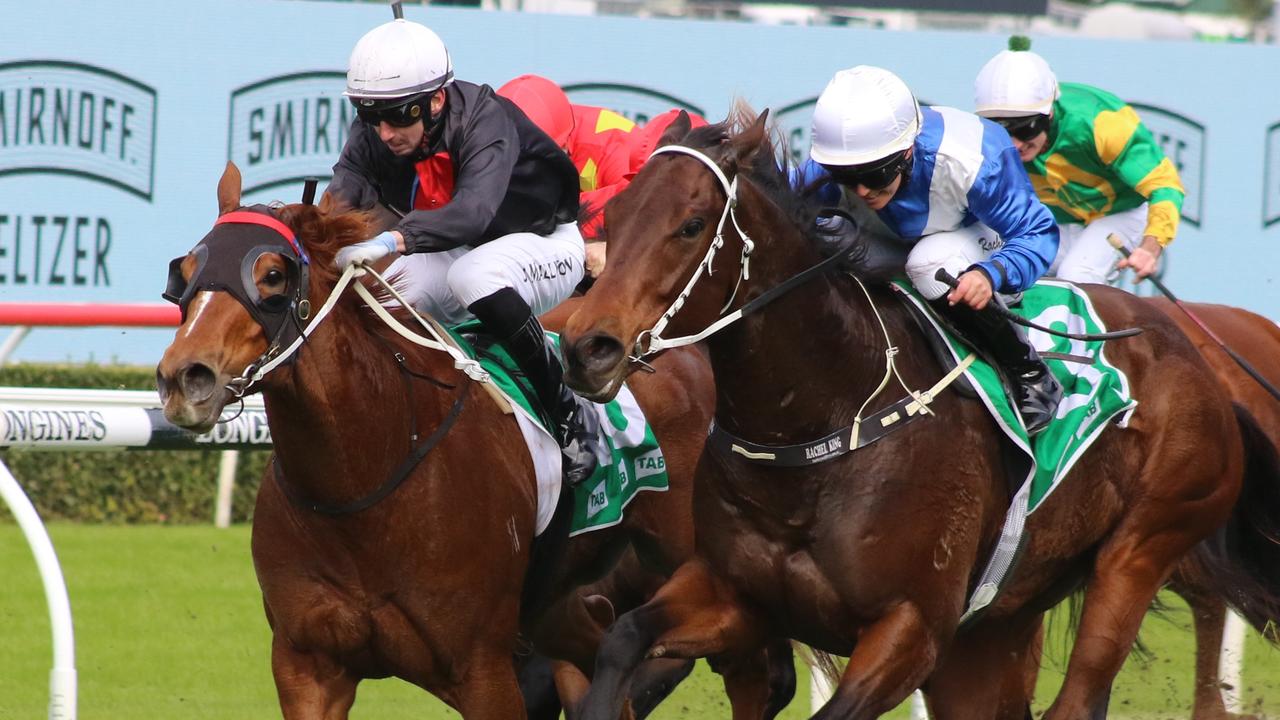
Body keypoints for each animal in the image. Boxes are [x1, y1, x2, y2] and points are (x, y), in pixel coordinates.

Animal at [157, 163, 788, 717]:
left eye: (272, 275)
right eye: (184, 272)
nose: (184, 377)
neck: (364, 482)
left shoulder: (481, 671)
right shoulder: (306, 665)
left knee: (757, 674)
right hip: (557, 605)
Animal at [558, 109, 1280, 712]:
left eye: (689, 225)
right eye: (611, 218)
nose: (589, 348)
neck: (820, 422)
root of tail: (1194, 356)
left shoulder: (912, 629)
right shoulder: (736, 597)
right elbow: (621, 643)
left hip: (1140, 551)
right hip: (998, 623)